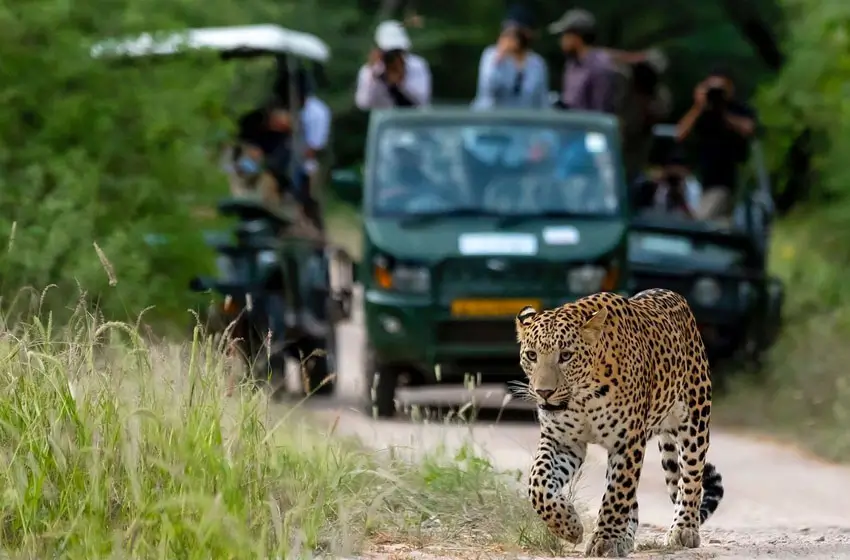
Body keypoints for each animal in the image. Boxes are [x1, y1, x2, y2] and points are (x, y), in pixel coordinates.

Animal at [514, 289, 724, 558]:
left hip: (695, 420)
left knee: (691, 477)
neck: (583, 397)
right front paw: (568, 525)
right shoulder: (562, 441)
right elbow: (538, 484)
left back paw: (684, 529)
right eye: (532, 355)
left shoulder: (627, 442)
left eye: (566, 356)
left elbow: (616, 494)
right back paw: (625, 538)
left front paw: (604, 540)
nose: (544, 392)